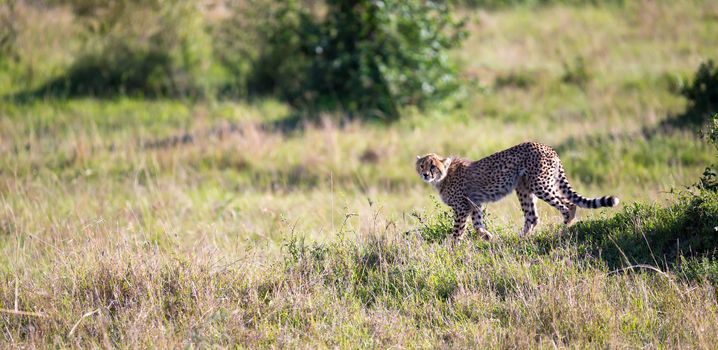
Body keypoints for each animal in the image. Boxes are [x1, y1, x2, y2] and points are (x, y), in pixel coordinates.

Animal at [420, 141, 620, 239]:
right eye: (422, 165)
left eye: (433, 166)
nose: (425, 174)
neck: (443, 177)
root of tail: (548, 147)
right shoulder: (474, 203)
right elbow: (477, 224)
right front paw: (487, 237)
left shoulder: (462, 207)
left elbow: (458, 229)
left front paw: (452, 248)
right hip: (524, 188)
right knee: (533, 216)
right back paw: (522, 238)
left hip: (540, 184)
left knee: (568, 205)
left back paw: (562, 229)